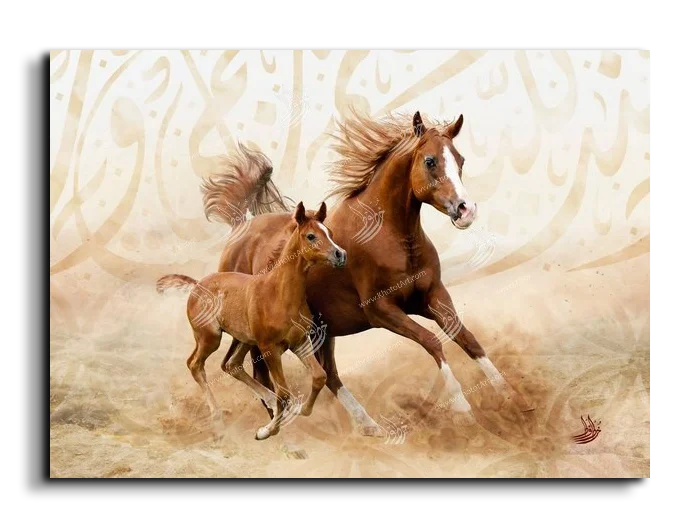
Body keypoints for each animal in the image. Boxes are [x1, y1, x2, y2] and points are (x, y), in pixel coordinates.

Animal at [156, 201, 347, 440]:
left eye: (329, 232)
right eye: (311, 236)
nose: (340, 254)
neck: (279, 293)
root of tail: (197, 285)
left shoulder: (299, 342)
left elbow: (319, 376)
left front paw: (302, 410)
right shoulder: (269, 348)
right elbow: (284, 393)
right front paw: (266, 431)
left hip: (244, 340)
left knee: (232, 365)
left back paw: (270, 403)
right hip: (210, 338)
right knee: (195, 364)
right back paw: (217, 417)